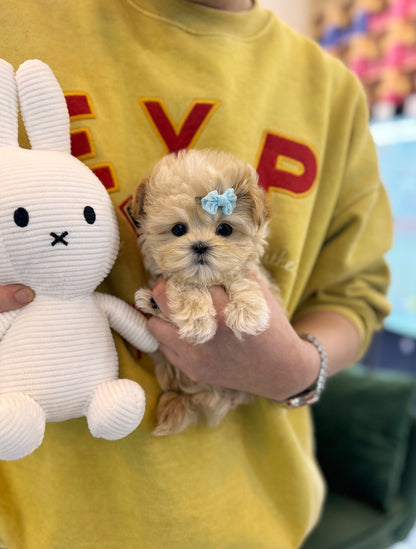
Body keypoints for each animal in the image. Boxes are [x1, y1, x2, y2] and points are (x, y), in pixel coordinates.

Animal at [133, 148, 280, 434]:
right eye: (178, 229)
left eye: (225, 229)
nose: (200, 245)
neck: (207, 281)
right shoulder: (173, 277)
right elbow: (183, 282)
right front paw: (197, 317)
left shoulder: (252, 273)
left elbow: (242, 278)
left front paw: (248, 312)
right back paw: (149, 302)